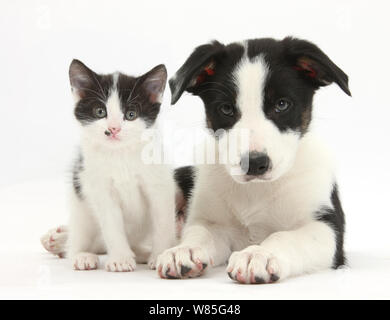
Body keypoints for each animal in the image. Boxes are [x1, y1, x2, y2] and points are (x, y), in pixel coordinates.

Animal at [42, 59, 177, 270]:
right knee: (79, 237)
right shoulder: (100, 188)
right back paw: (81, 255)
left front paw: (160, 255)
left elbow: (162, 220)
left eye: (131, 114)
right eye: (100, 112)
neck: (120, 155)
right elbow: (111, 224)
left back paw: (142, 253)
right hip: (80, 206)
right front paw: (120, 259)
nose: (113, 129)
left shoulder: (159, 184)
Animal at [157, 36, 352, 284]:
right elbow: (200, 232)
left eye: (282, 104)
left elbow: (284, 236)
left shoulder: (327, 228)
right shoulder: (214, 223)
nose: (255, 163)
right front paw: (185, 250)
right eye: (226, 108)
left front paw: (260, 254)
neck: (257, 190)